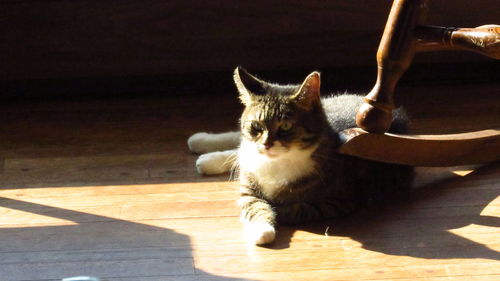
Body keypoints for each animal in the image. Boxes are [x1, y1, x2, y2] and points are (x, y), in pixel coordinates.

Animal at [188, 66, 414, 244]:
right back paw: (200, 144)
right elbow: (254, 205)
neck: (275, 163)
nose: (266, 144)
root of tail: (397, 114)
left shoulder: (340, 200)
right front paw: (262, 229)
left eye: (286, 126)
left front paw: (272, 217)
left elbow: (294, 209)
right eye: (256, 126)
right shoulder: (248, 189)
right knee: (239, 145)